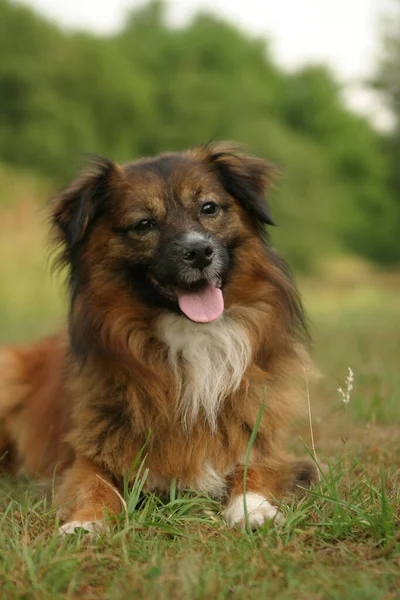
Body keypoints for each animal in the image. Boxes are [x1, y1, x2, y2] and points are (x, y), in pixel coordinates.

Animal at [0, 142, 316, 536]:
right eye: (143, 224)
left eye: (208, 208)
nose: (199, 252)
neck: (192, 336)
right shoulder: (89, 452)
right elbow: (93, 485)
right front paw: (85, 523)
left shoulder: (261, 435)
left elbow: (254, 468)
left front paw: (252, 509)